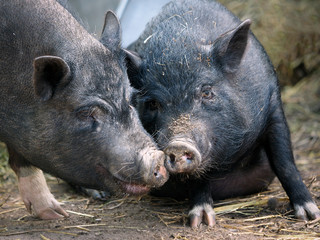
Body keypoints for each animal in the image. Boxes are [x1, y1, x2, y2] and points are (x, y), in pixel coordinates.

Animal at [124, 0, 320, 227]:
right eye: (153, 103)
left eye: (207, 92)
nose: (177, 145)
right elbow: (199, 178)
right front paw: (201, 222)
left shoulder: (273, 105)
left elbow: (284, 161)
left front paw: (310, 215)